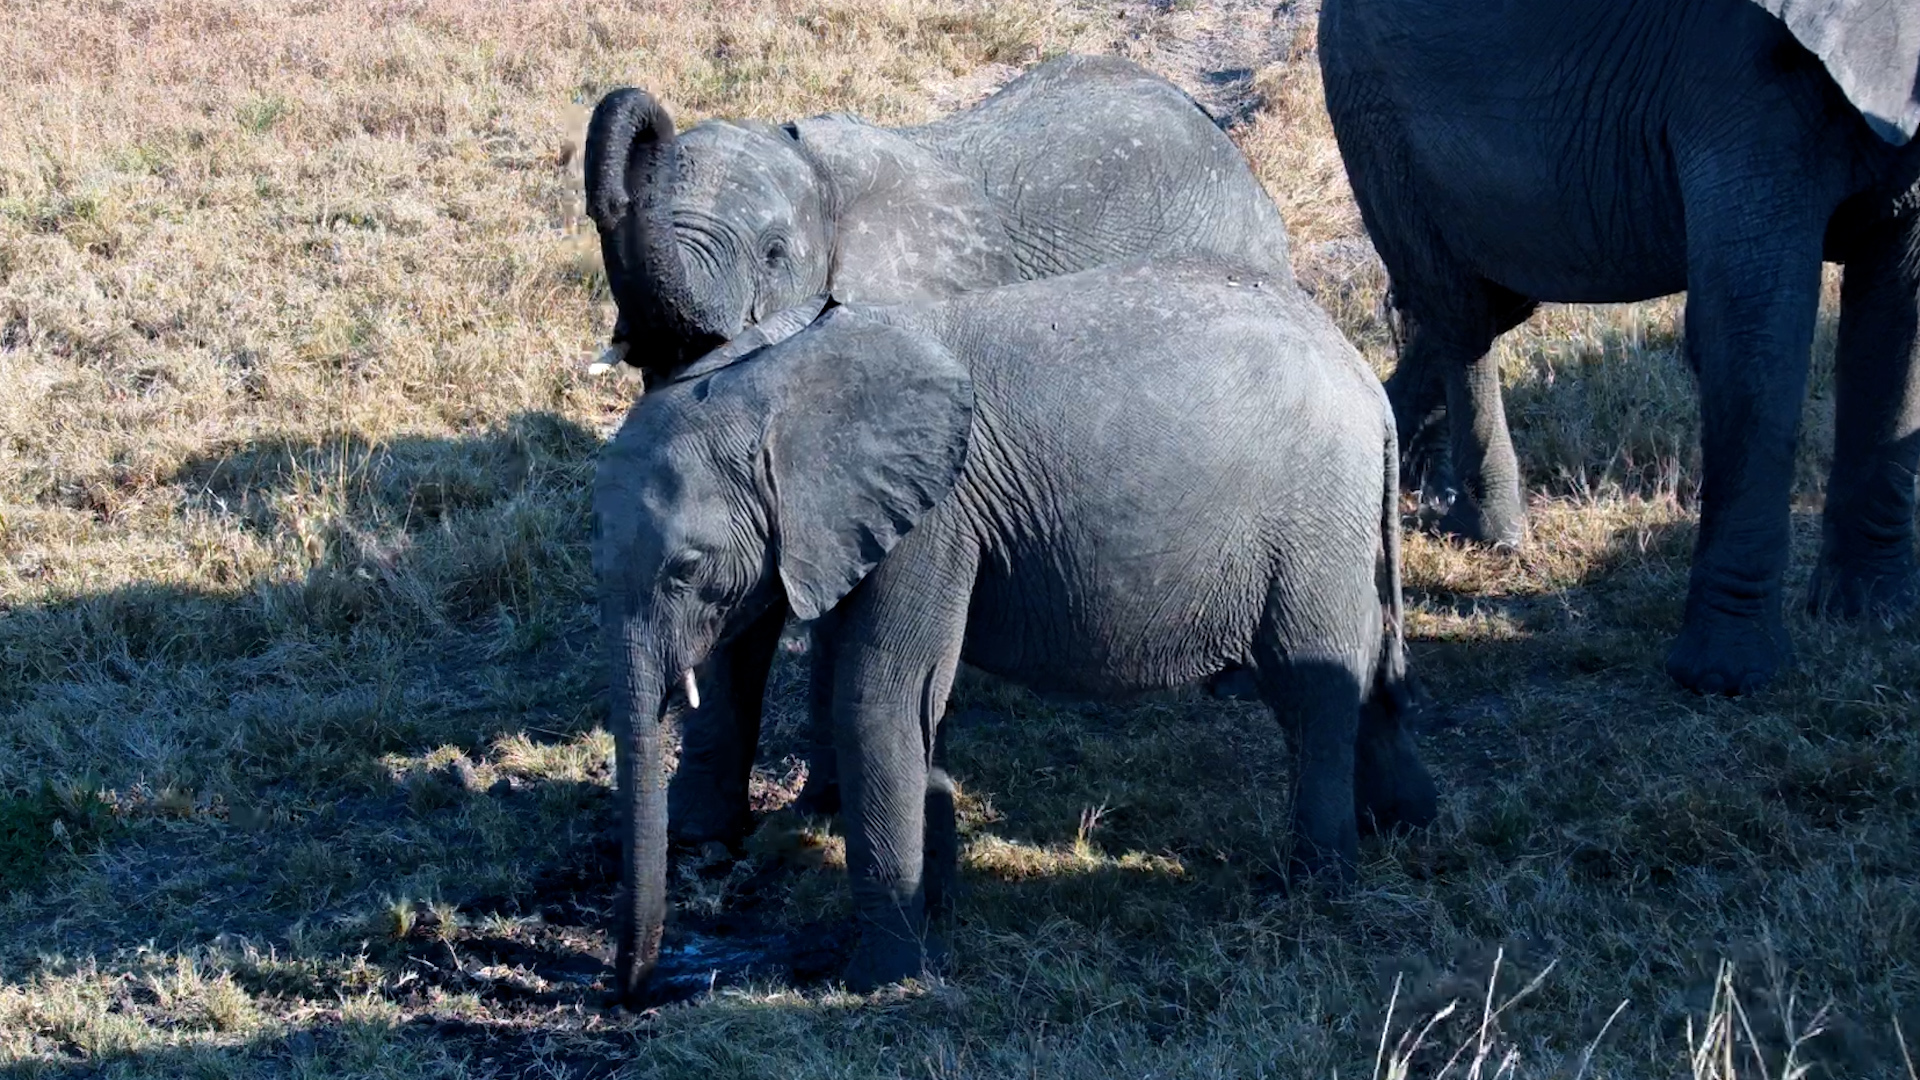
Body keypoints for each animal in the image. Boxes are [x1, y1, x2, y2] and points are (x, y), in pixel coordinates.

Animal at [592, 256, 1438, 1001]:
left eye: (686, 569)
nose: (631, 992)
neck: (774, 378)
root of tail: (1367, 382)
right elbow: (906, 702)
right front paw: (938, 916)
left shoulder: (934, 519)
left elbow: (877, 701)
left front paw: (878, 982)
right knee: (1362, 667)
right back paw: (1402, 830)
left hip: (1310, 520)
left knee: (1308, 682)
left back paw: (1309, 889)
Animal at [1318, 0, 1920, 694]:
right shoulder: (1740, 81)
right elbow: (1754, 328)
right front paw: (1725, 678)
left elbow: (1897, 314)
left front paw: (1874, 616)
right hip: (1375, 109)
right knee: (1462, 315)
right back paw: (1491, 536)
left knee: (1490, 305)